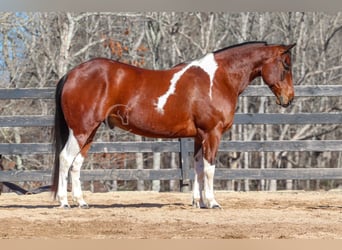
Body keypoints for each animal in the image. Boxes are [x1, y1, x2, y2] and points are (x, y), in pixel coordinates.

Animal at [52, 41, 296, 209]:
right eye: (286, 65)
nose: (289, 99)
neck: (218, 79)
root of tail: (72, 73)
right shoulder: (212, 133)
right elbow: (209, 168)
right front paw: (212, 202)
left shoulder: (199, 136)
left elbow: (198, 167)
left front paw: (198, 202)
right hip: (81, 130)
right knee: (65, 158)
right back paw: (64, 202)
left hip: (89, 132)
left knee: (76, 164)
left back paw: (81, 202)